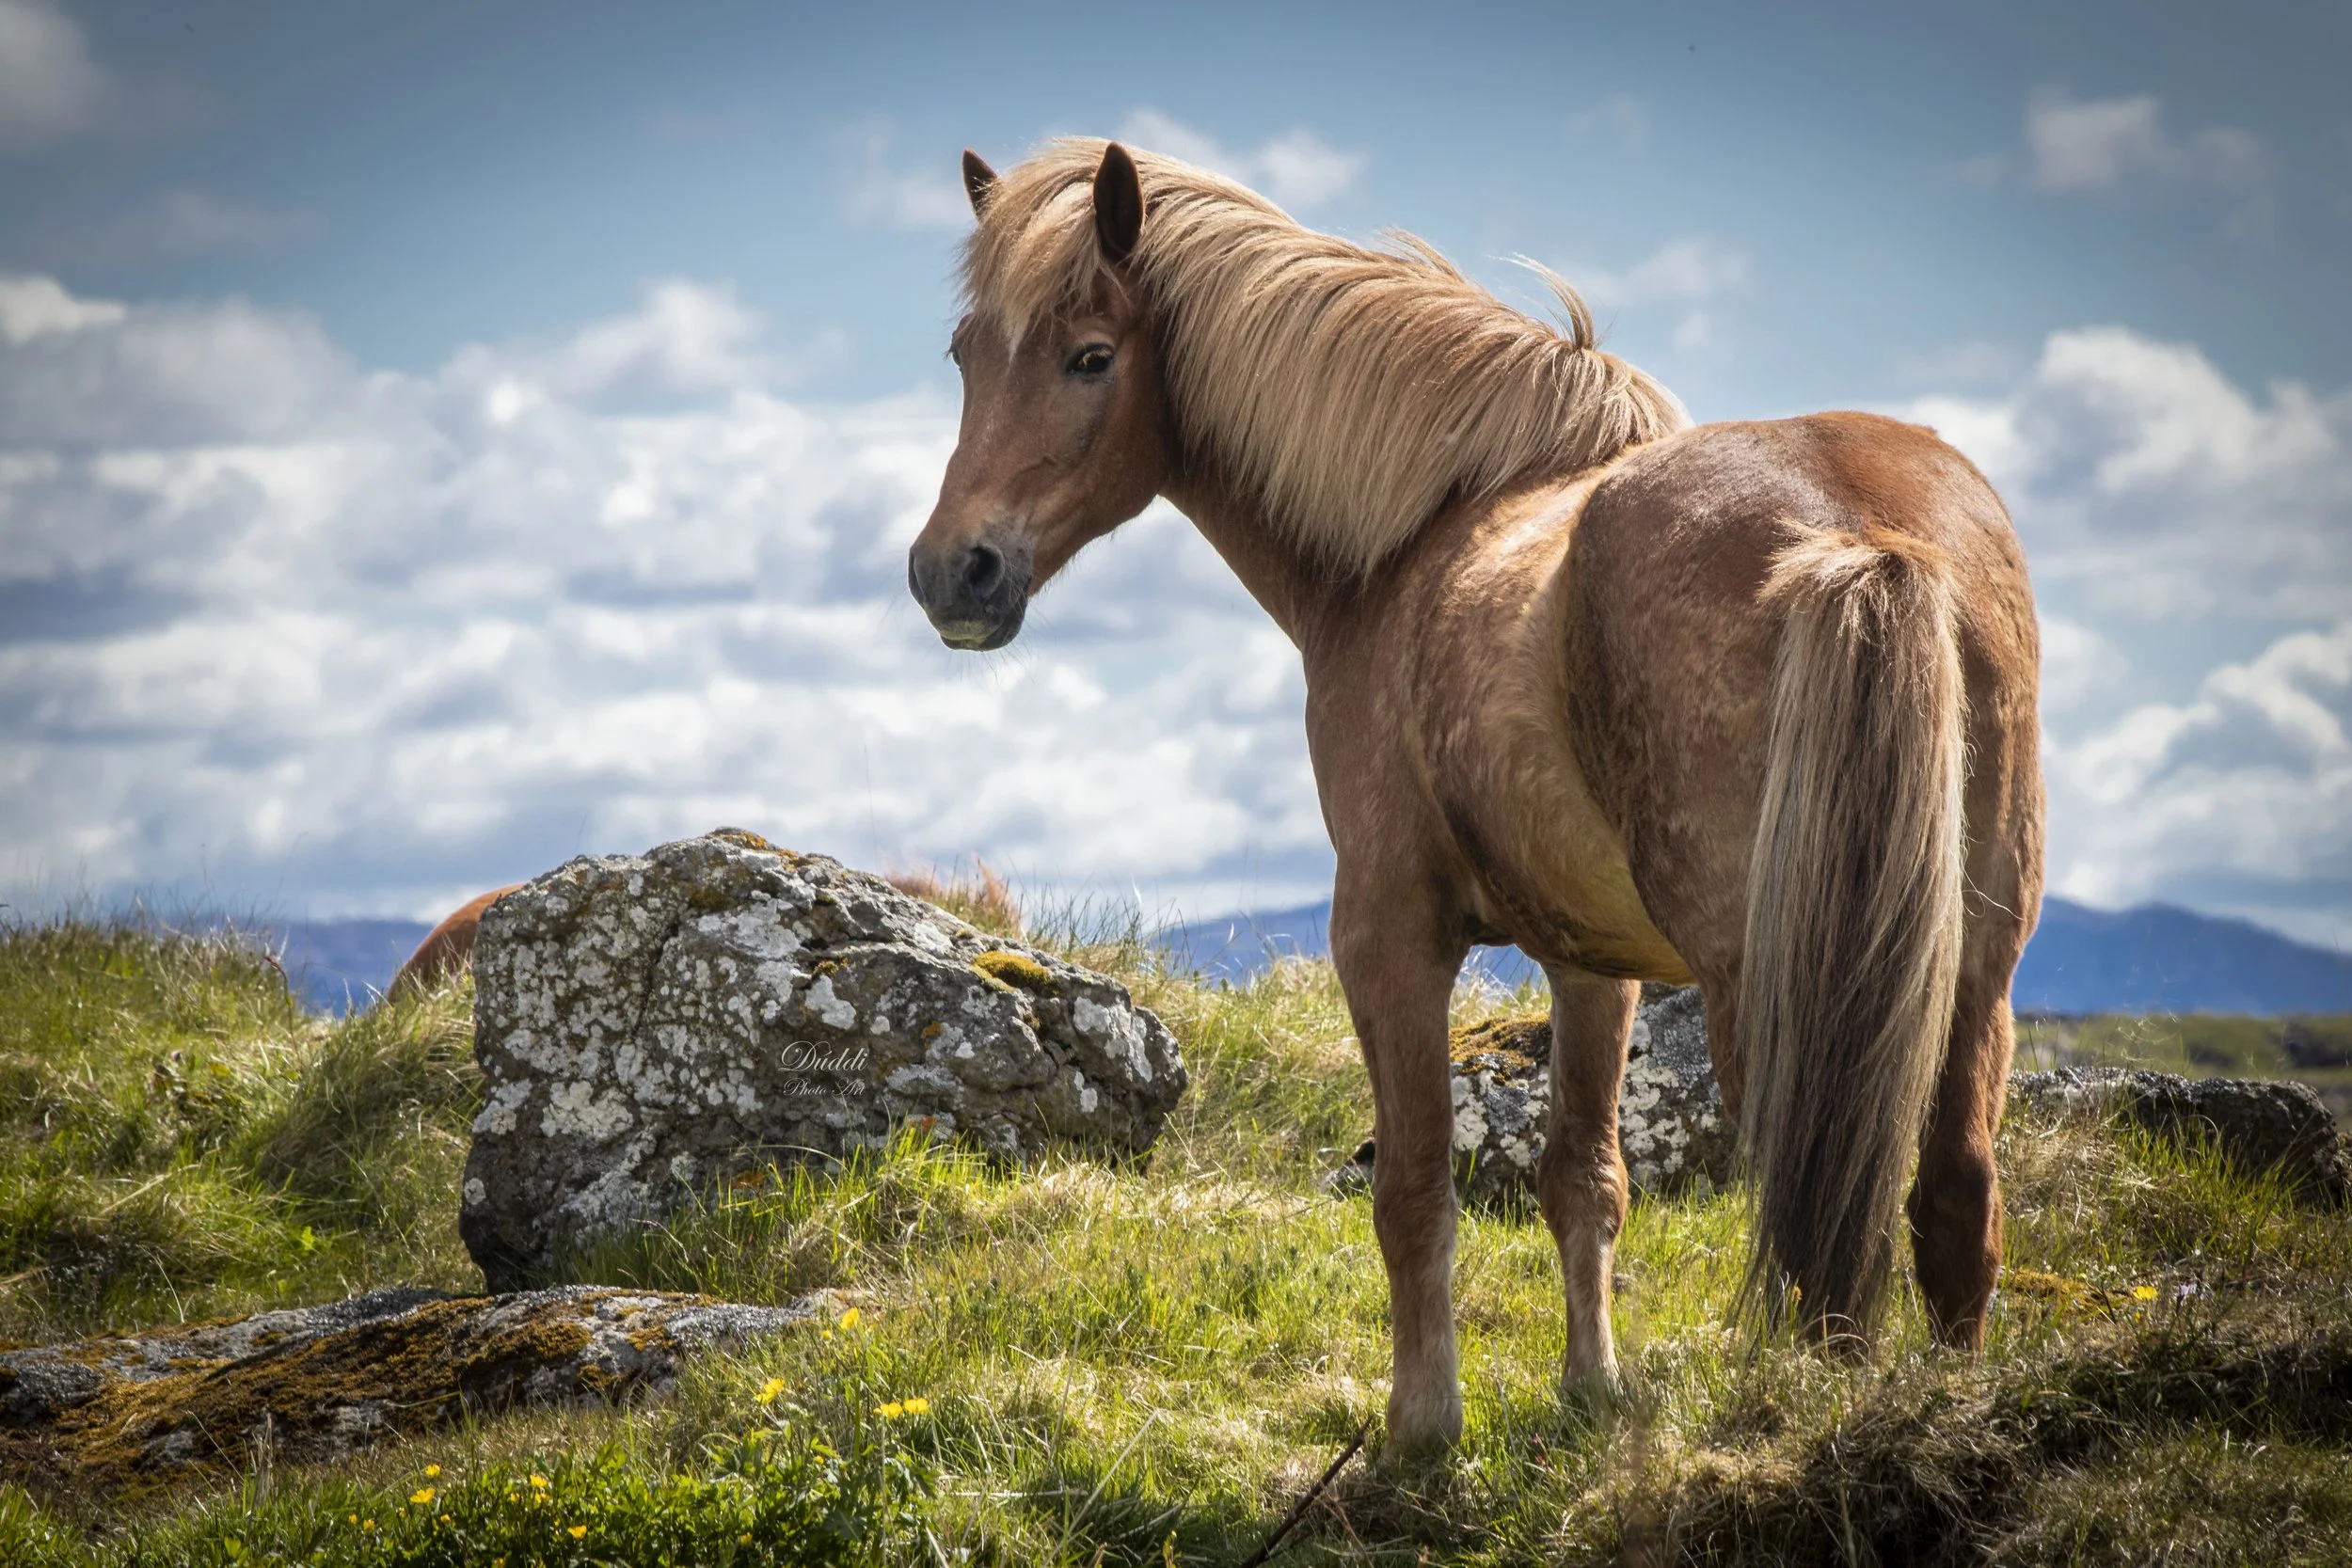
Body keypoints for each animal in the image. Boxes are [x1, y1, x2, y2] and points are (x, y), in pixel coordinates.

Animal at [907, 140, 2043, 1455]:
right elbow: (1583, 1180)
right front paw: (1591, 1389)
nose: (951, 573)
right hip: (1974, 973)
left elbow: (1412, 1191)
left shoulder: (1388, 933)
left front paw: (1421, 1426)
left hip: (1773, 984)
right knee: (1954, 1203)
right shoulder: (1592, 965)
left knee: (1825, 1242)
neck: (1416, 538)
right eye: (964, 355)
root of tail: (1864, 536)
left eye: (1090, 356)